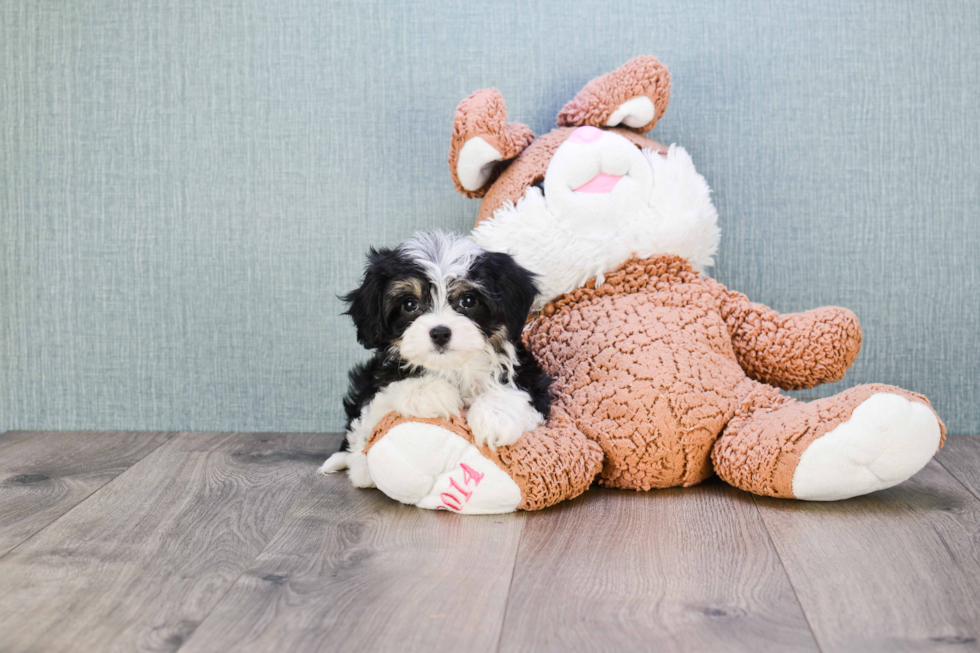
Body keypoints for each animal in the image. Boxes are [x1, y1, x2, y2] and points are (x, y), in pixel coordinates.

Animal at [320, 232, 552, 486]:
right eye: (410, 304)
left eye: (468, 301)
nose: (440, 332)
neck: (453, 368)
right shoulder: (377, 381)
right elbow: (391, 389)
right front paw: (434, 393)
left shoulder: (530, 377)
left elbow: (515, 391)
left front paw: (495, 418)